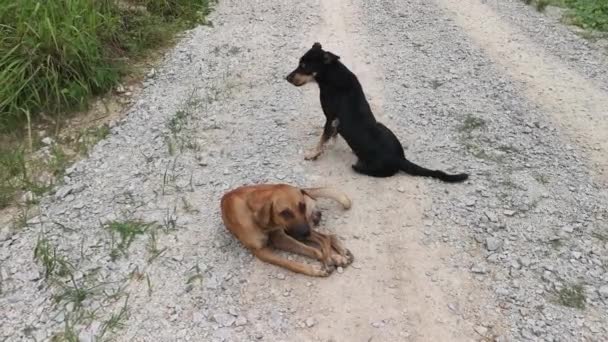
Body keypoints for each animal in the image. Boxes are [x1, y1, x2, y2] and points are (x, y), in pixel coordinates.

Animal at [220, 183, 352, 276]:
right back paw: (338, 255)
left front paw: (327, 260)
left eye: (302, 206)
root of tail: (302, 188)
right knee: (327, 237)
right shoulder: (262, 251)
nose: (306, 232)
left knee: (324, 237)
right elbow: (290, 263)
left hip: (296, 229)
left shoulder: (281, 236)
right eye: (285, 213)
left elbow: (314, 250)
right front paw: (316, 268)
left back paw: (338, 255)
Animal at [288, 42, 468, 183]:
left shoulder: (330, 117)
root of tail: (400, 159)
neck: (331, 74)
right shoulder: (334, 121)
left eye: (304, 66)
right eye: (299, 63)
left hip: (361, 166)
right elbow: (331, 136)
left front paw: (313, 154)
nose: (286, 78)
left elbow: (322, 139)